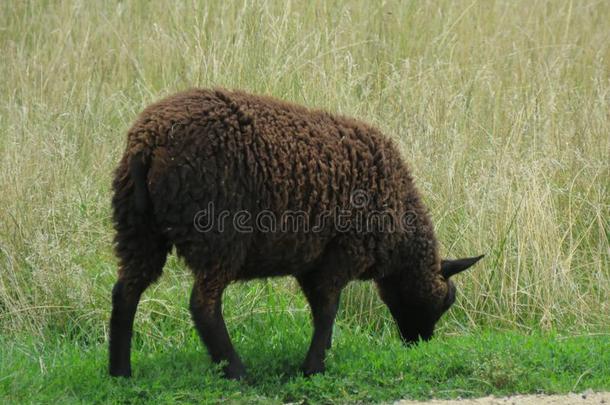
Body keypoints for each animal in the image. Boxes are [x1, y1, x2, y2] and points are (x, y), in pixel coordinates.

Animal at [108, 88, 480, 378]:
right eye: (446, 301)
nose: (419, 343)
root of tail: (147, 143)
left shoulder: (311, 261)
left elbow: (321, 311)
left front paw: (319, 359)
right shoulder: (342, 253)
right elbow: (328, 310)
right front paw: (313, 367)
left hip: (137, 229)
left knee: (125, 292)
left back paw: (120, 373)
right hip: (218, 236)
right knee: (203, 305)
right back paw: (237, 373)